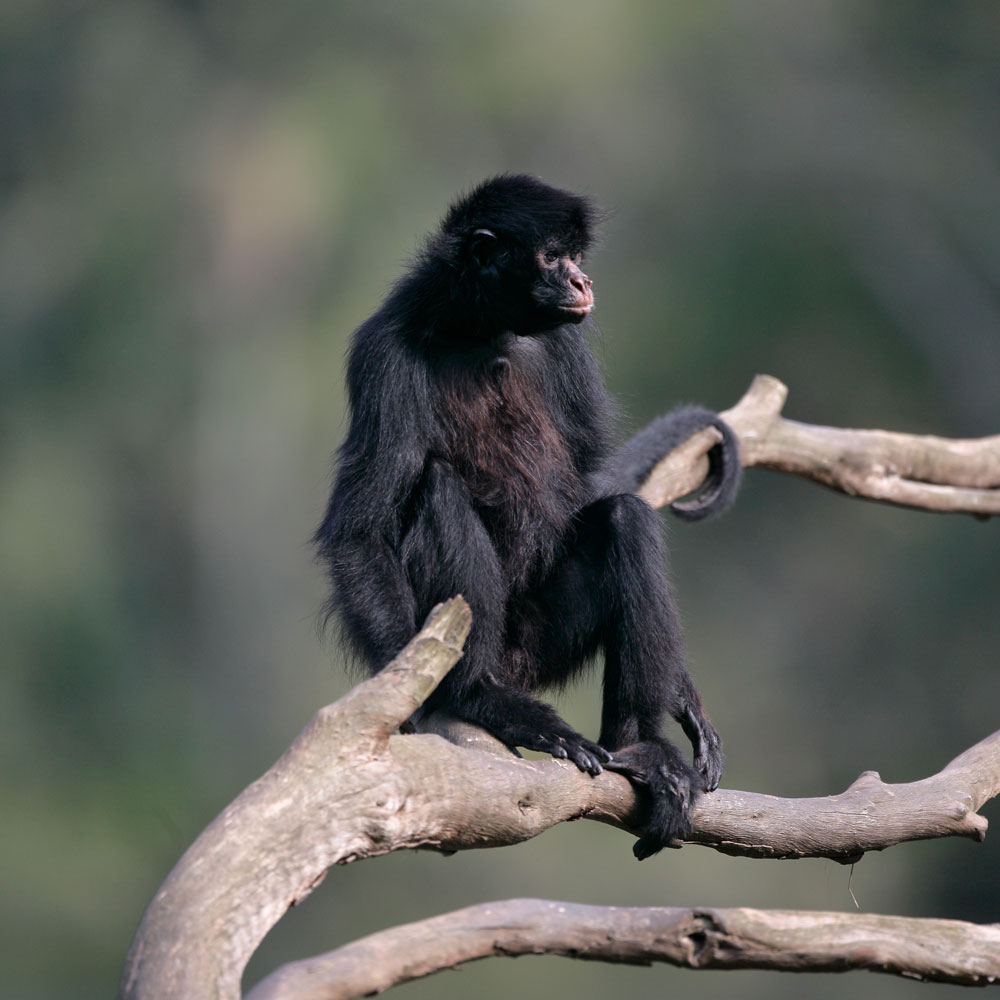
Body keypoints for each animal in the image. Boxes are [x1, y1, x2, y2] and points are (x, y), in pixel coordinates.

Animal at [314, 175, 740, 858]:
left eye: (575, 255)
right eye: (552, 257)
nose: (583, 281)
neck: (482, 333)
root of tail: (511, 661)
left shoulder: (566, 341)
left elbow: (597, 483)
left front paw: (681, 698)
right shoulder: (382, 353)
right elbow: (360, 531)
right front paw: (411, 708)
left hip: (548, 635)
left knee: (624, 517)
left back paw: (639, 747)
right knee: (439, 486)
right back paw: (482, 695)